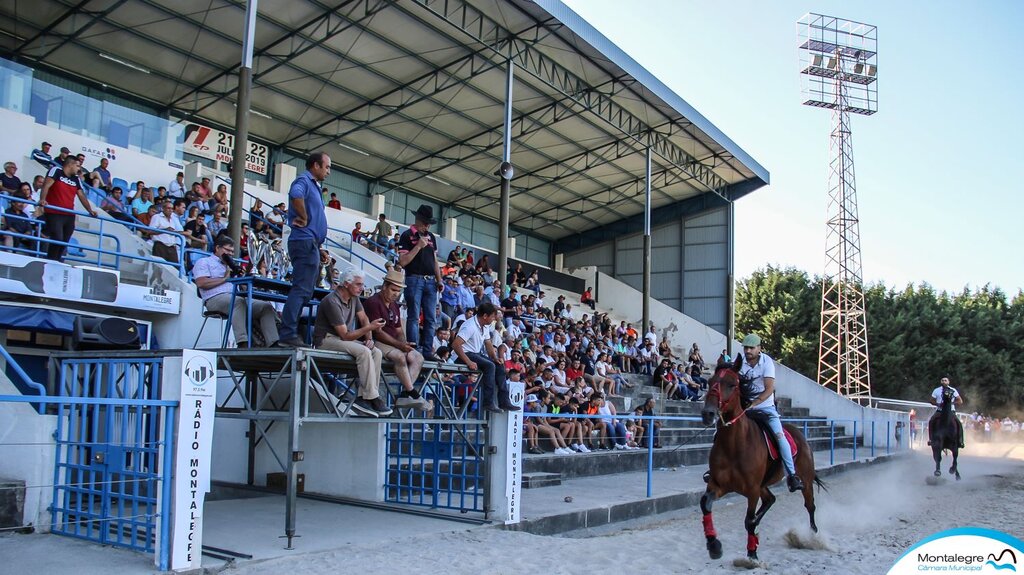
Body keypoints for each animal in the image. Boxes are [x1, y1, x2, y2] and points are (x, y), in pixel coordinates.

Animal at [696, 358, 823, 560]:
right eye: (709, 382)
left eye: (732, 384)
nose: (708, 413)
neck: (735, 445)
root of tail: (797, 433)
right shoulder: (718, 485)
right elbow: (705, 504)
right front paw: (714, 545)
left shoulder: (752, 490)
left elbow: (749, 520)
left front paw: (752, 554)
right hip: (763, 486)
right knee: (771, 500)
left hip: (805, 479)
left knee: (810, 506)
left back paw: (812, 536)